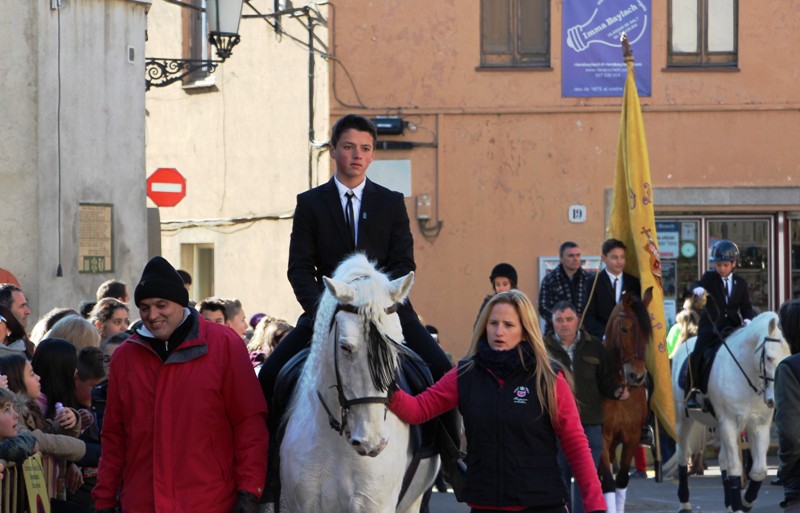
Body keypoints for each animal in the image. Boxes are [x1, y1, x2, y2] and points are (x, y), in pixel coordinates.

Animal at [672, 312, 792, 512]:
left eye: (788, 355)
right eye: (768, 357)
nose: (774, 400)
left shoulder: (758, 425)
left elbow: (758, 471)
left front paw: (745, 502)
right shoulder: (728, 422)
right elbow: (735, 467)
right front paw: (738, 506)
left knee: (722, 459)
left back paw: (728, 502)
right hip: (683, 420)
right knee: (682, 454)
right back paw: (684, 502)